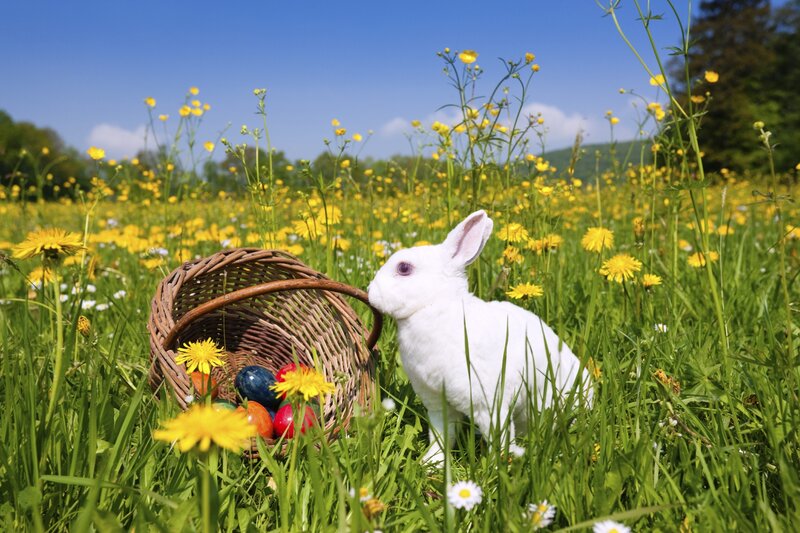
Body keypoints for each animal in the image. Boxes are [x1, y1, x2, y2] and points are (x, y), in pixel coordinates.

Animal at [368, 210, 593, 464]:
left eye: (404, 268)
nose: (370, 291)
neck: (435, 306)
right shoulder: (438, 404)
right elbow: (441, 437)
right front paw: (432, 463)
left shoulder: (490, 405)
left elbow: (499, 438)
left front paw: (497, 466)